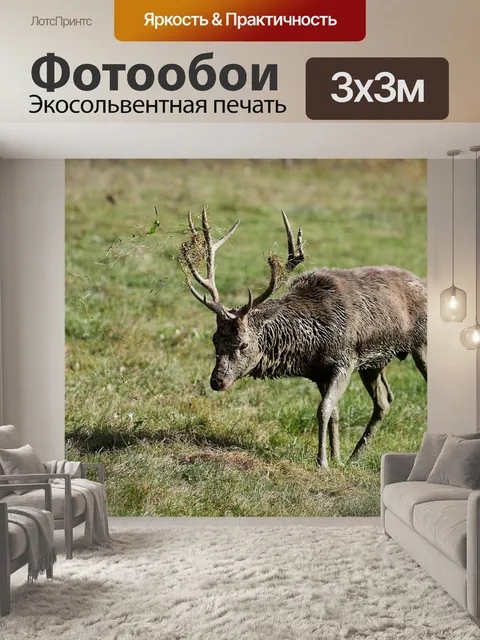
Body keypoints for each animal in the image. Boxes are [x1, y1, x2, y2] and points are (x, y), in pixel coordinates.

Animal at [180, 207, 427, 468]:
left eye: (244, 344)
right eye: (214, 340)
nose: (217, 381)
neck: (311, 344)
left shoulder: (345, 360)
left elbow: (323, 409)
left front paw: (322, 462)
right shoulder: (320, 372)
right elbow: (334, 412)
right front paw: (337, 458)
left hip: (421, 343)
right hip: (375, 362)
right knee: (384, 401)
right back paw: (355, 456)